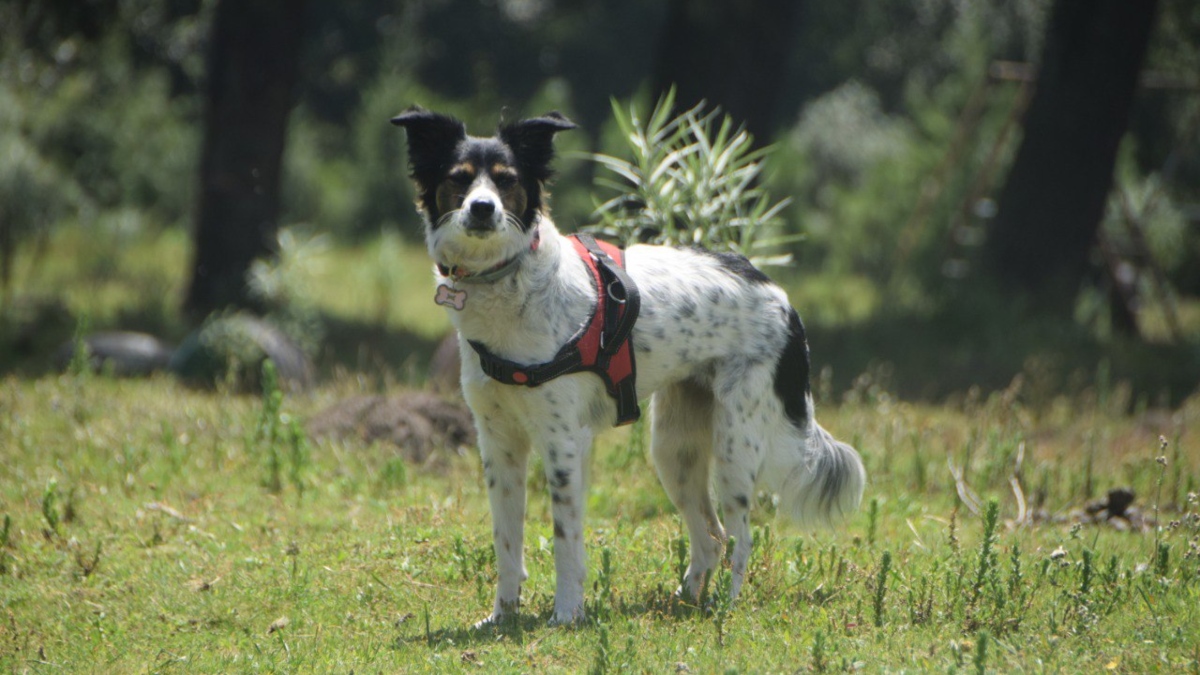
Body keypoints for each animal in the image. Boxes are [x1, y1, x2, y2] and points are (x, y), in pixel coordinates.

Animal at [391, 105, 864, 624]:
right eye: (459, 178)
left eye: (506, 179)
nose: (482, 208)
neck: (506, 283)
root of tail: (776, 292)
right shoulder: (499, 445)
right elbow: (507, 543)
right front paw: (503, 617)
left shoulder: (563, 443)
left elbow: (565, 542)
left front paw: (566, 614)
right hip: (674, 450)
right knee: (710, 537)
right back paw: (686, 600)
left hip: (735, 448)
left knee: (740, 537)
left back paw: (726, 607)